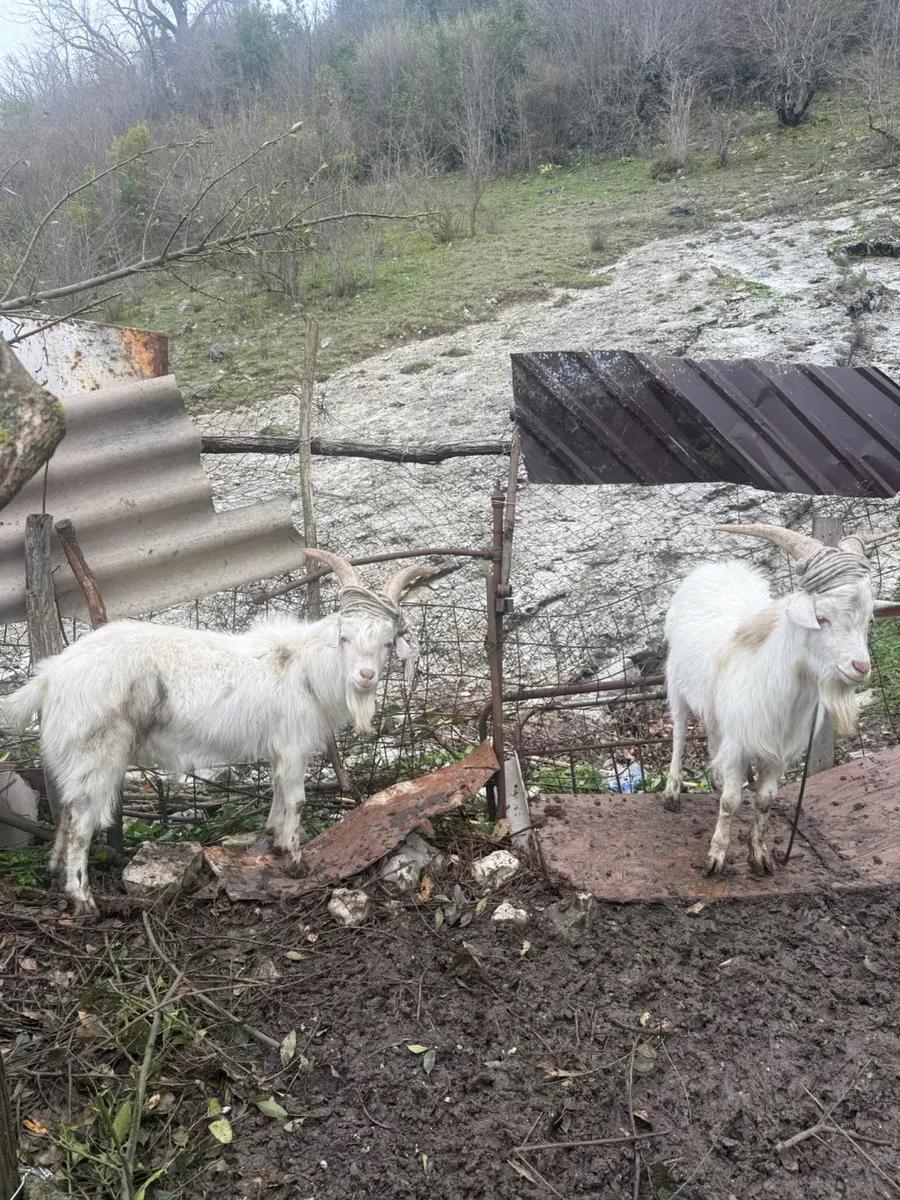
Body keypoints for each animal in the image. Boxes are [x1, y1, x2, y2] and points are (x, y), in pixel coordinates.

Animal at [0, 549, 444, 915]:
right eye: (344, 637)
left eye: (388, 642)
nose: (365, 676)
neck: (304, 666)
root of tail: (51, 676)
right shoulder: (293, 743)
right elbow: (297, 799)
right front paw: (297, 862)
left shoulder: (280, 748)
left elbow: (278, 792)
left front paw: (275, 843)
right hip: (97, 752)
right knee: (81, 823)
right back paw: (83, 898)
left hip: (75, 756)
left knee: (67, 811)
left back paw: (55, 875)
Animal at [663, 524, 894, 876]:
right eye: (822, 617)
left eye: (868, 619)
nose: (860, 667)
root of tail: (716, 569)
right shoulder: (740, 743)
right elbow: (731, 801)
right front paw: (715, 858)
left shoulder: (778, 752)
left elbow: (765, 800)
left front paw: (760, 857)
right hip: (676, 683)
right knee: (678, 731)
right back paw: (672, 792)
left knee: (712, 734)